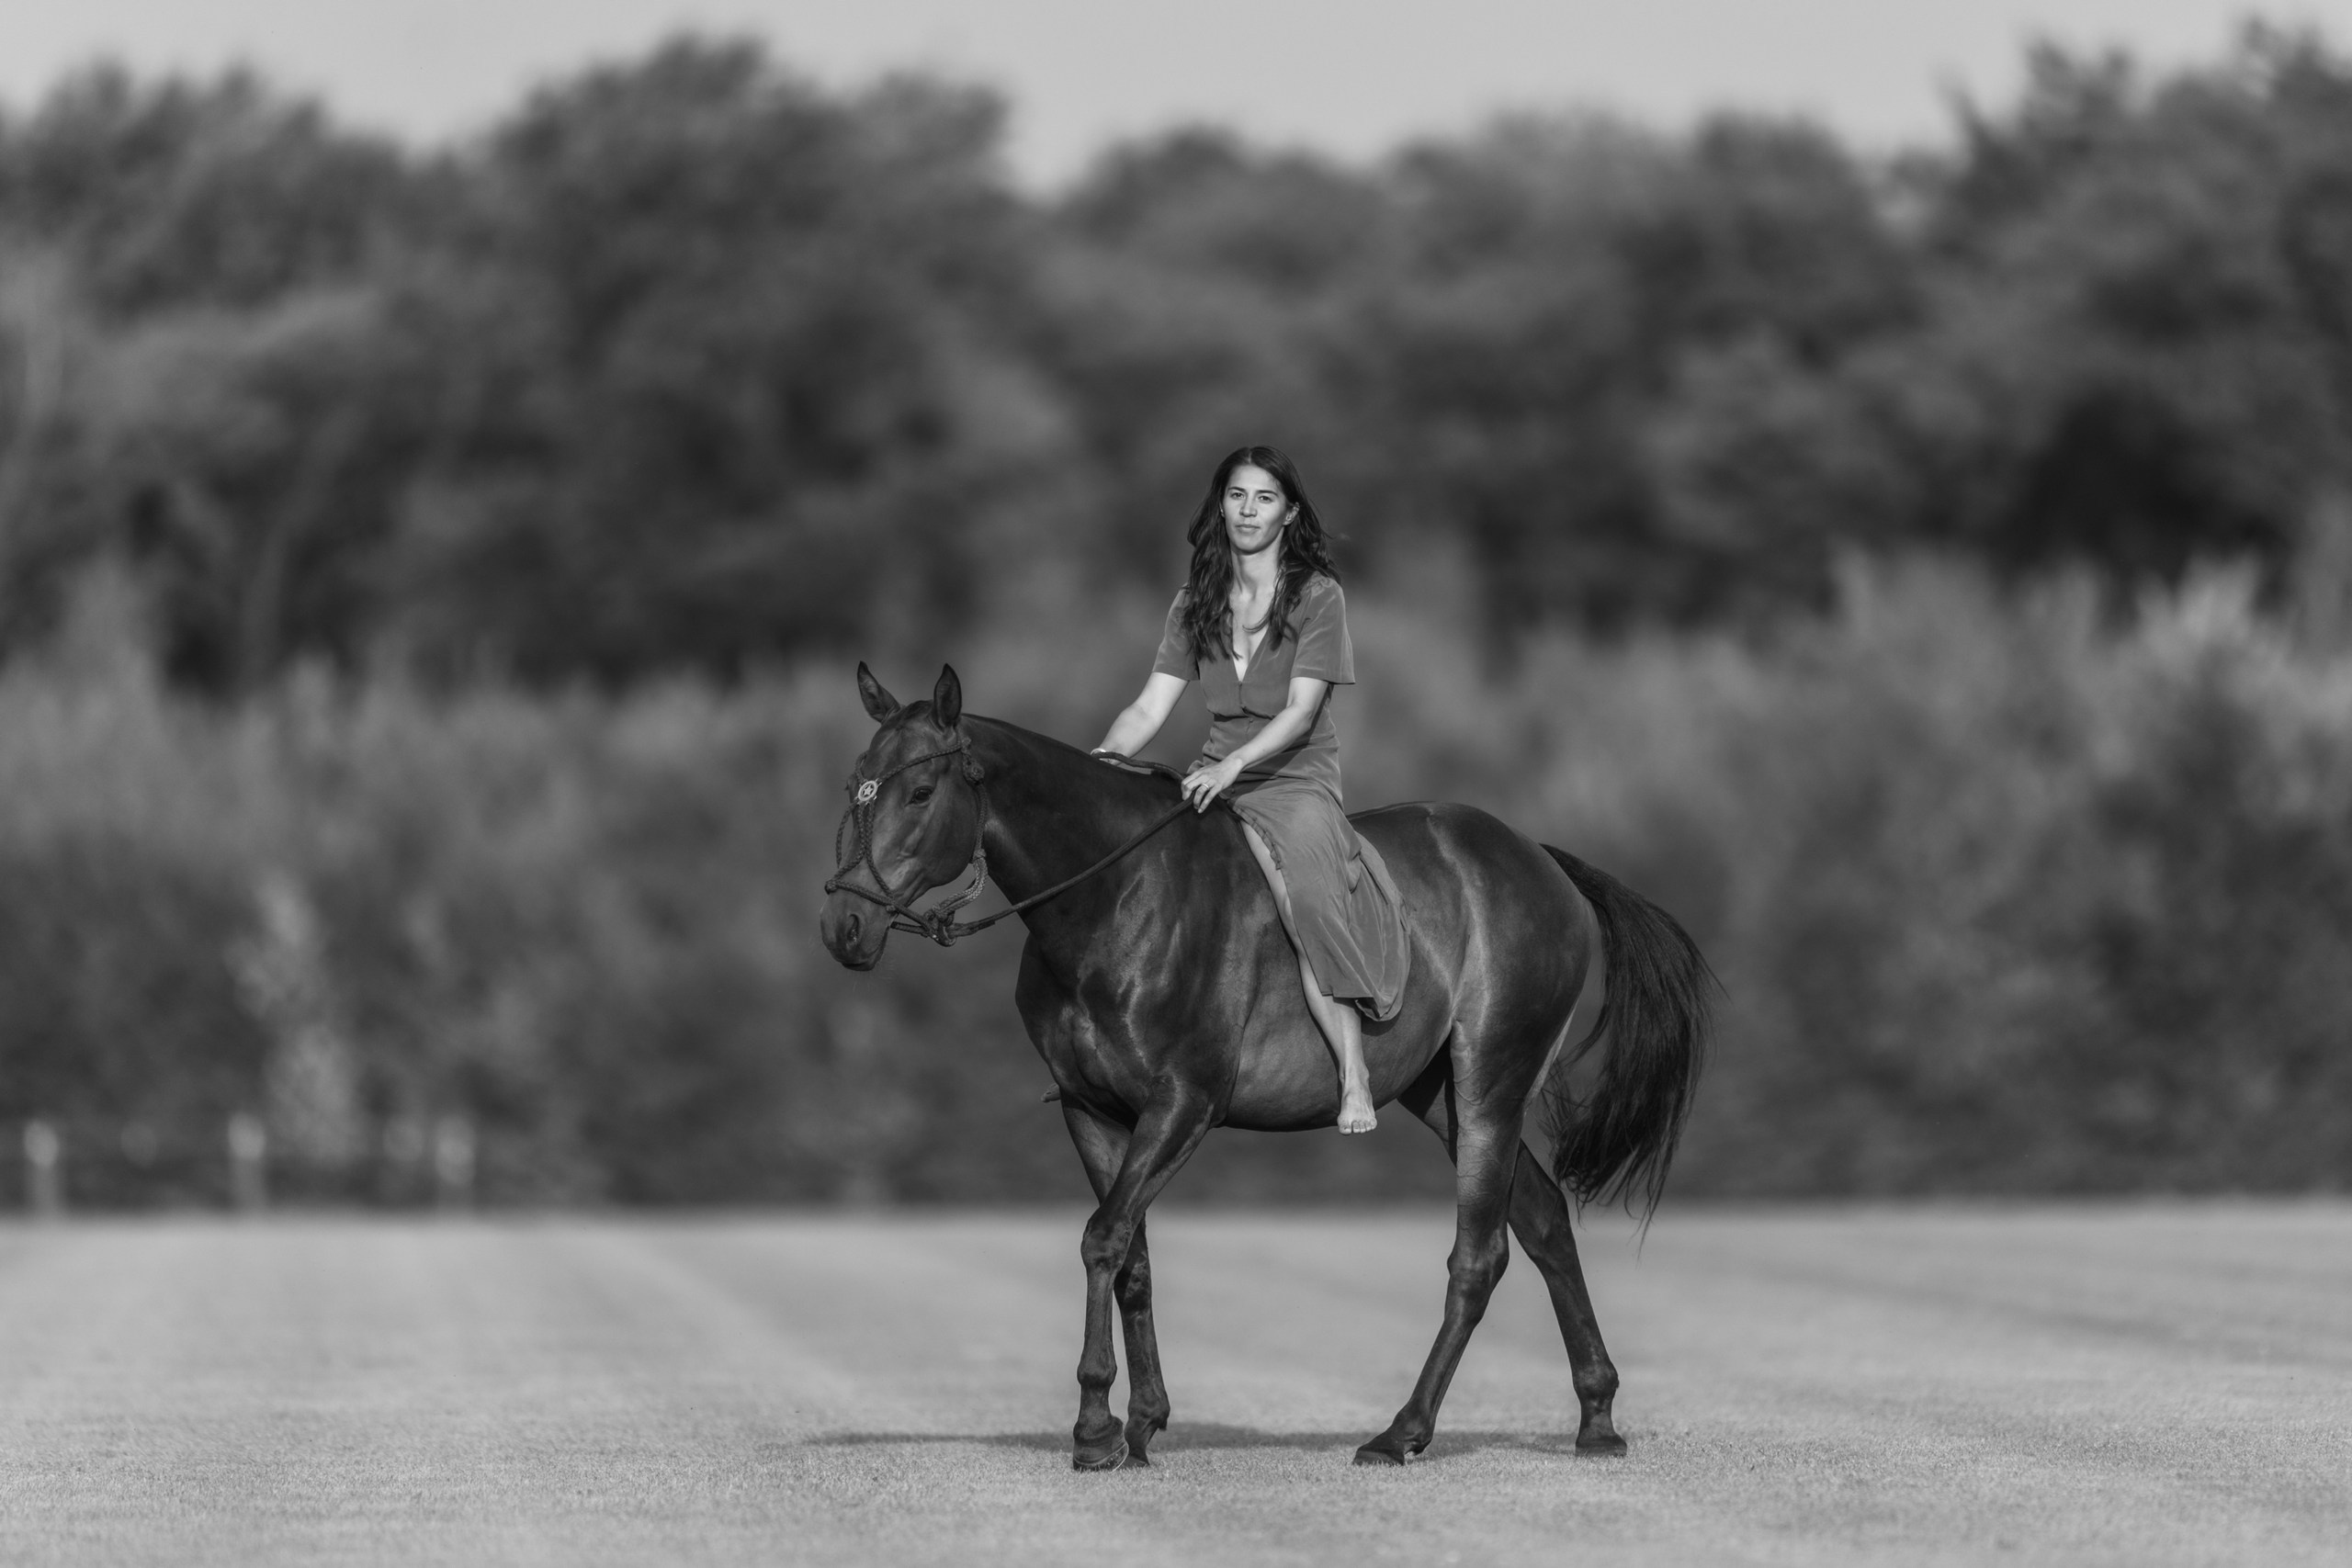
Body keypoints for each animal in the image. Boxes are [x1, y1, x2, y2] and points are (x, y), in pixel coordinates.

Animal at [818, 664, 1711, 1469]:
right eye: (856, 784)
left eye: (920, 791)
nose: (844, 926)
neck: (1113, 895)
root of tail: (1540, 860)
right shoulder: (1092, 1109)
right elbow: (1132, 1256)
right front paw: (1142, 1424)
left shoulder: (1185, 1103)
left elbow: (1103, 1238)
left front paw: (1096, 1427)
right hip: (1442, 1098)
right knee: (1545, 1221)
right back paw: (1596, 1416)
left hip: (1490, 1082)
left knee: (1479, 1255)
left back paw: (1403, 1431)